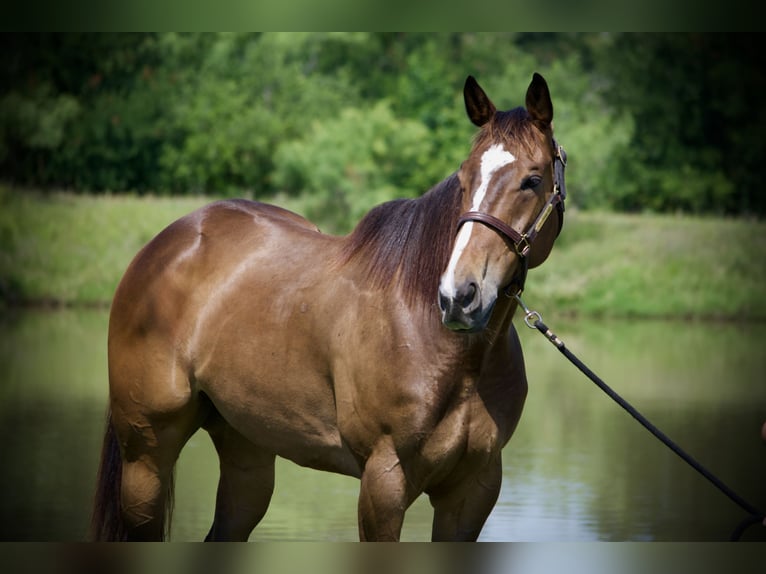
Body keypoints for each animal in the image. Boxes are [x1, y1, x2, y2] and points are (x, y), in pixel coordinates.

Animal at [90, 72, 567, 541]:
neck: (444, 351)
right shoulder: (384, 482)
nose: (459, 296)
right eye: (464, 179)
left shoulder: (473, 491)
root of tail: (165, 244)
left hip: (247, 453)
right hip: (146, 460)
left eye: (532, 180)